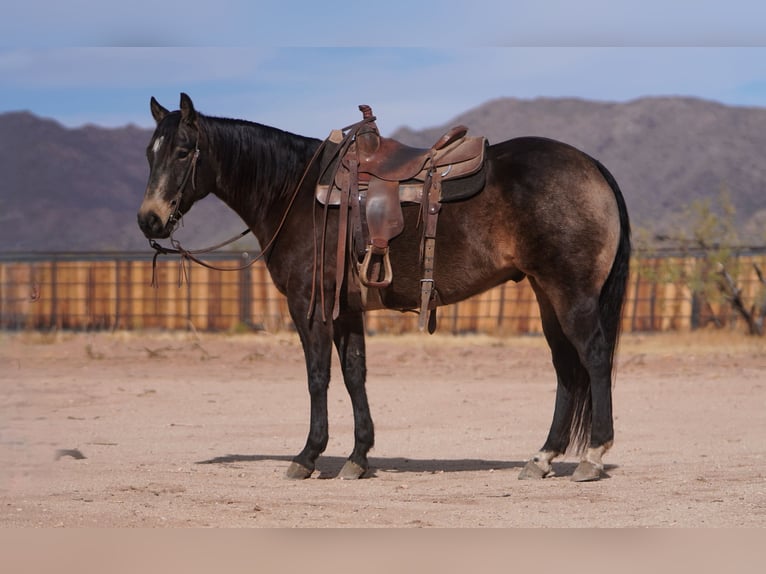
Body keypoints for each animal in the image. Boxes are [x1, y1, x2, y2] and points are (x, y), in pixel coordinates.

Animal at [136, 92, 632, 484]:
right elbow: (355, 374)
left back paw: (592, 455)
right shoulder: (347, 310)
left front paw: (308, 455)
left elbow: (318, 376)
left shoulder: (310, 306)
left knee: (594, 357)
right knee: (565, 368)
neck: (295, 193)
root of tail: (592, 167)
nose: (149, 220)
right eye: (149, 152)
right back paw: (543, 457)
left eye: (183, 151)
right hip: (547, 295)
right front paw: (358, 457)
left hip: (571, 295)